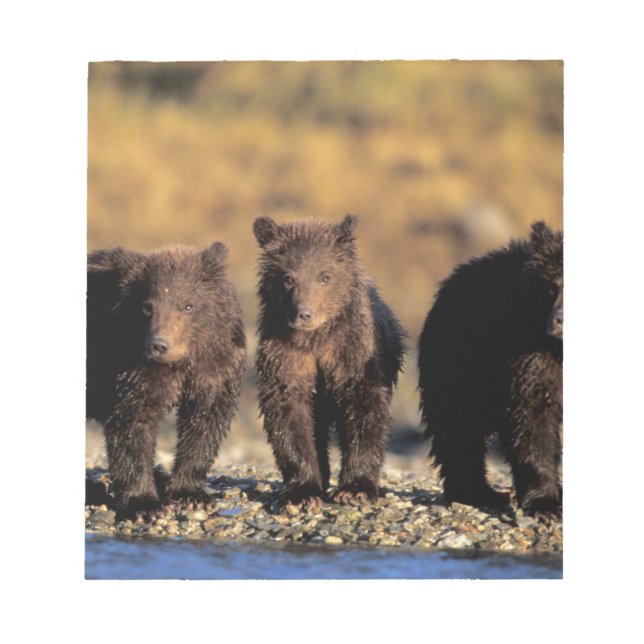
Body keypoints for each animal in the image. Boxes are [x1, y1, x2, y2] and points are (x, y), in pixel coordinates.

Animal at [87, 242, 247, 520]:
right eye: (147, 306)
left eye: (188, 305)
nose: (159, 344)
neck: (181, 362)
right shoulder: (134, 371)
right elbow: (132, 425)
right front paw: (144, 504)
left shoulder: (215, 367)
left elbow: (204, 422)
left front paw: (191, 495)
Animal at [253, 214, 406, 509]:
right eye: (288, 278)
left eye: (325, 276)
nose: (304, 313)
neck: (315, 340)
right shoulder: (285, 356)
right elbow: (289, 415)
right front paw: (303, 492)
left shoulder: (352, 352)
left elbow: (365, 407)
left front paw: (355, 489)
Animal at [417, 221, 563, 519]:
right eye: (550, 287)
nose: (559, 321)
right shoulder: (528, 355)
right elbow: (533, 420)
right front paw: (545, 504)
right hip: (459, 363)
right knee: (458, 430)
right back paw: (479, 493)